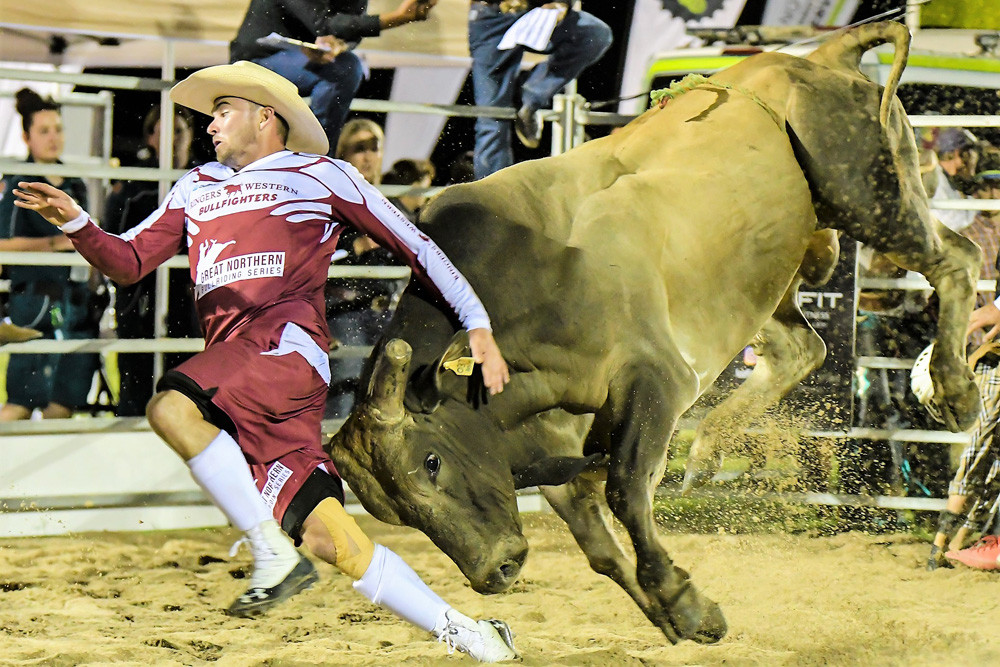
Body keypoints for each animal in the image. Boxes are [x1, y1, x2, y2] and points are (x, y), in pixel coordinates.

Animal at [326, 20, 976, 648]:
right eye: (395, 514)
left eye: (431, 461)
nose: (496, 571)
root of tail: (819, 58)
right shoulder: (553, 440)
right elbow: (600, 546)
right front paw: (687, 613)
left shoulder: (656, 375)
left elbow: (626, 486)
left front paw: (680, 597)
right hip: (768, 275)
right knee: (802, 348)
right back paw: (709, 448)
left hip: (871, 199)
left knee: (958, 260)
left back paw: (955, 390)